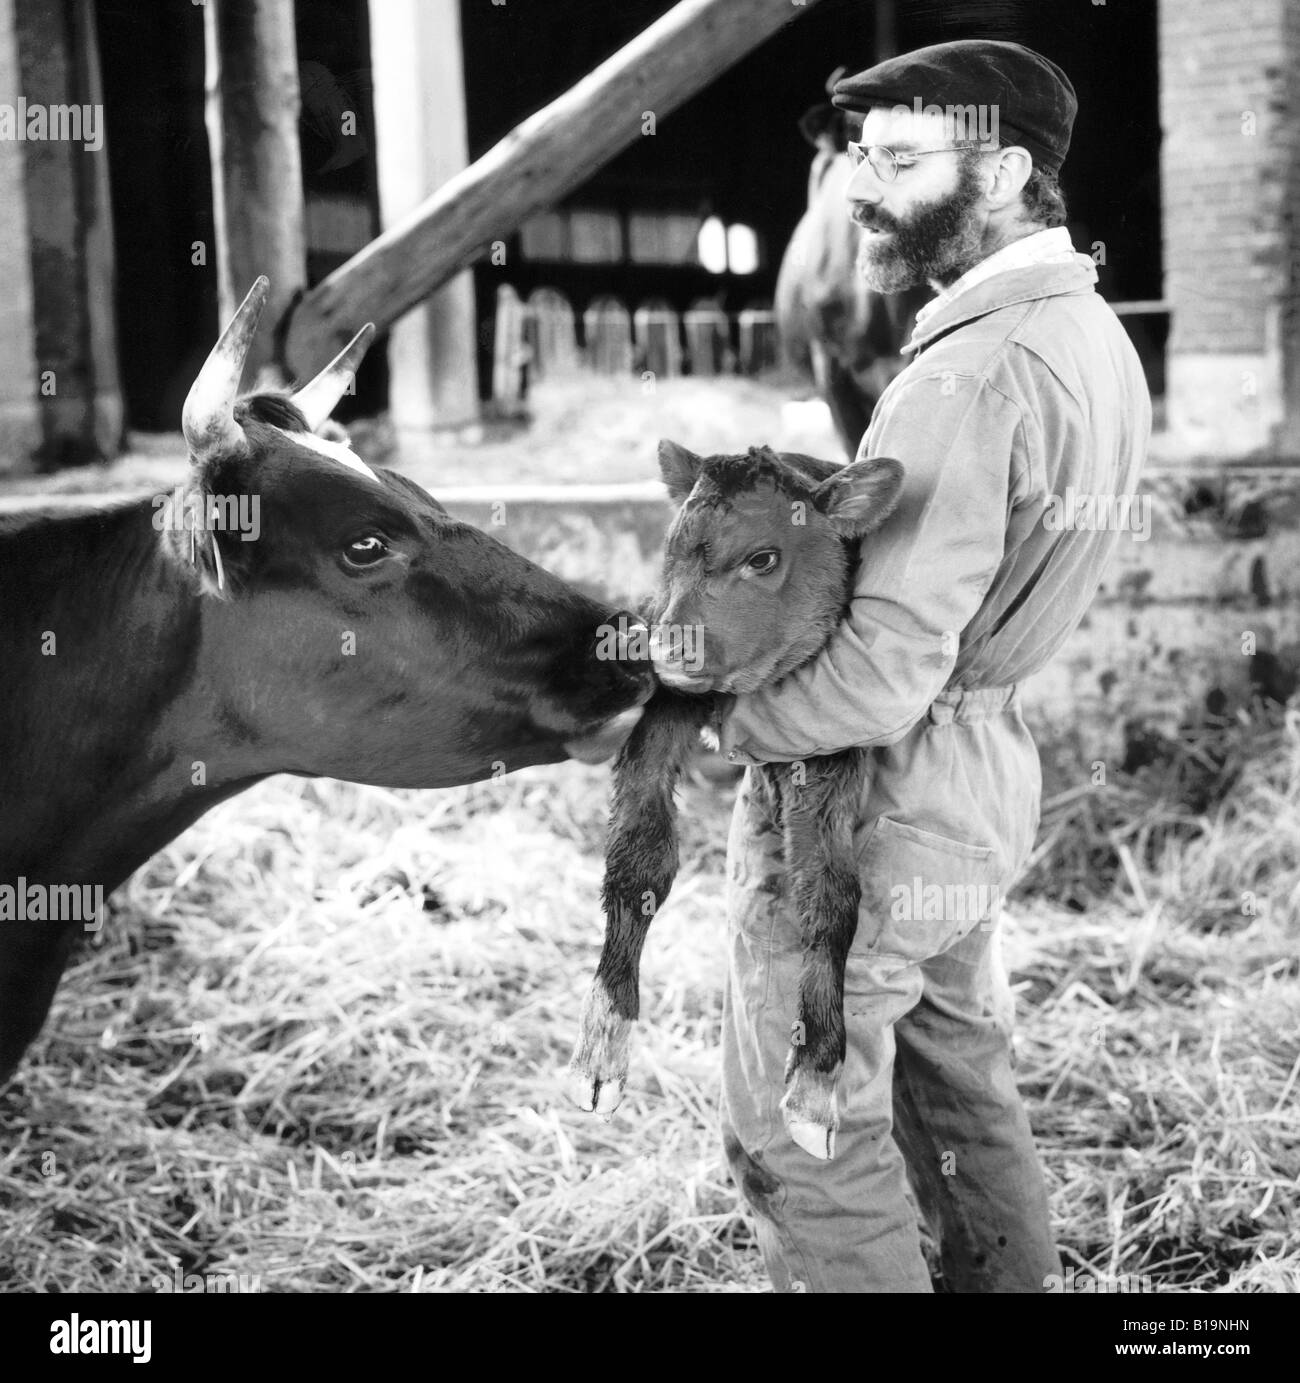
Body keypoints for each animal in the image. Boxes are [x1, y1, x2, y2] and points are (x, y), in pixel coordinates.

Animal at [569, 442, 901, 1156]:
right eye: (671, 548)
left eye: (764, 558)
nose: (666, 645)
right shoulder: (665, 705)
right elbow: (639, 858)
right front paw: (603, 1045)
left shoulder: (839, 739)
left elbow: (830, 896)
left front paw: (816, 1085)